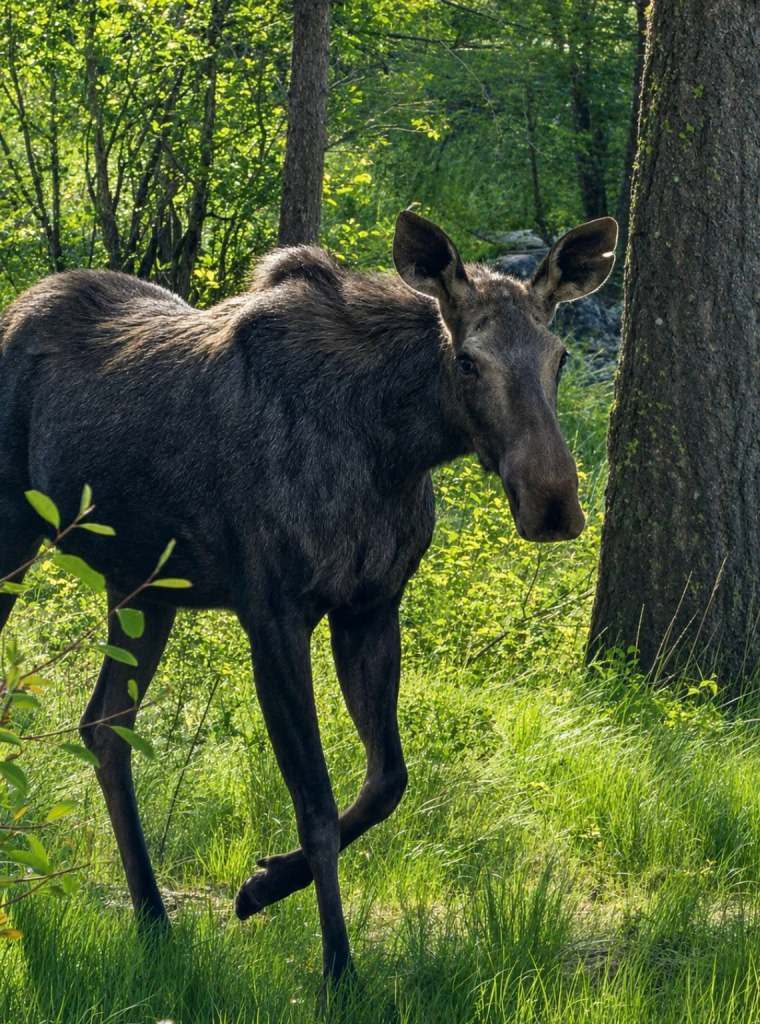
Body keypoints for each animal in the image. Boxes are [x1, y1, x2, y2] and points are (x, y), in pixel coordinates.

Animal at [0, 210, 617, 983]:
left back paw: (153, 918)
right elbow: (317, 803)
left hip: (145, 589)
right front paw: (337, 967)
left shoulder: (371, 607)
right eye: (468, 362)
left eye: (558, 357)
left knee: (105, 726)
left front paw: (264, 885)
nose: (554, 503)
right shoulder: (273, 613)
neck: (392, 448)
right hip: (15, 536)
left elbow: (387, 782)